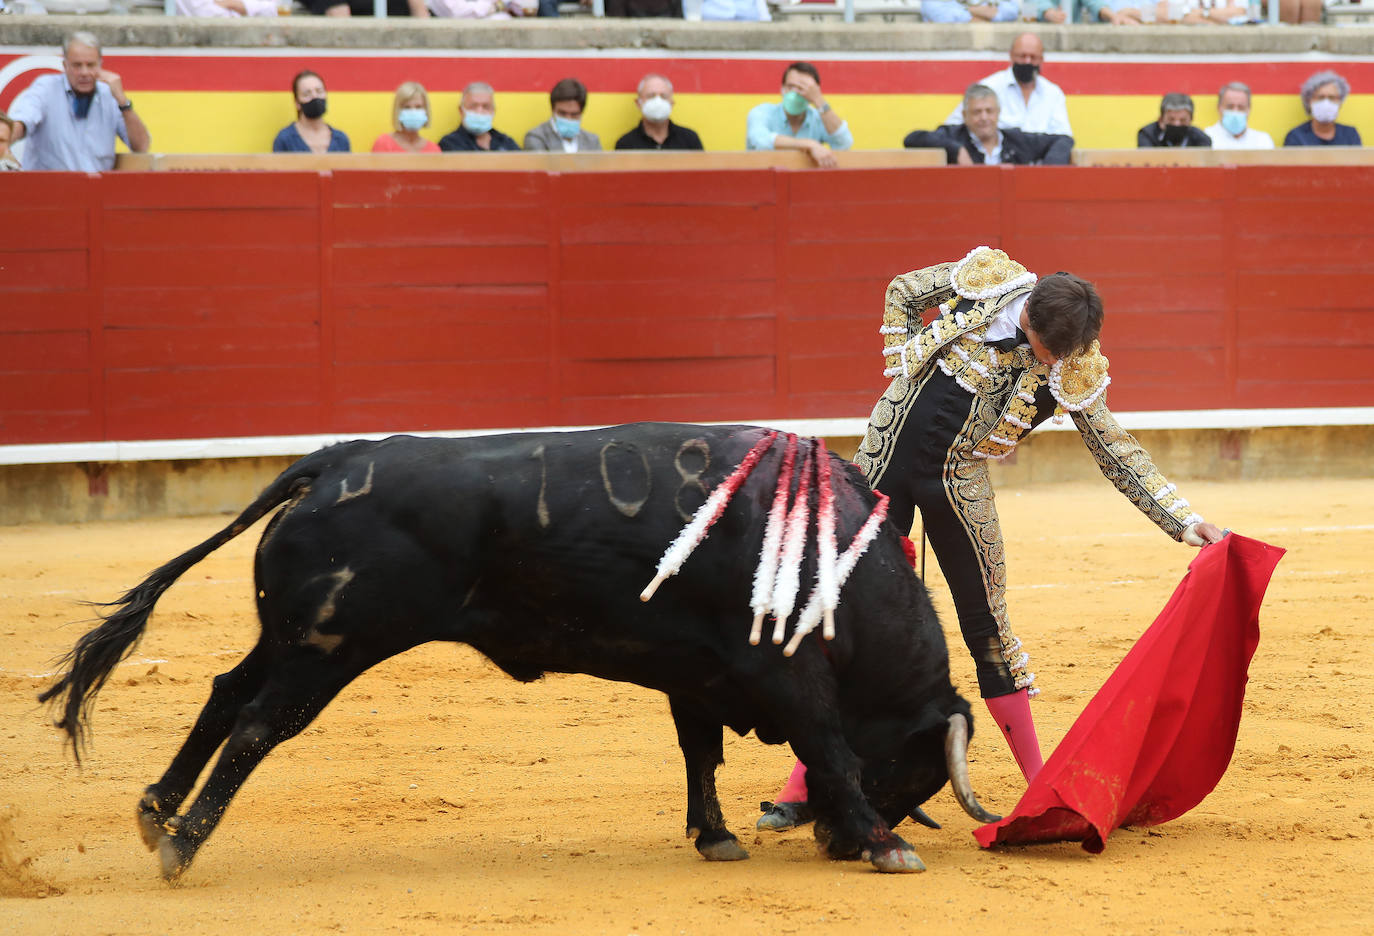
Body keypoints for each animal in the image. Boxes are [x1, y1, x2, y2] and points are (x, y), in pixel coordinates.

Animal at [37, 420, 994, 879]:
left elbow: (700, 754)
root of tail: (337, 459)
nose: (831, 841)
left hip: (291, 633)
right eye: (916, 770)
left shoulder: (697, 673)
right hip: (332, 647)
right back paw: (181, 845)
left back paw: (156, 811)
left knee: (225, 693)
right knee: (257, 727)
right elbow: (827, 748)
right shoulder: (788, 675)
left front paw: (717, 836)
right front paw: (885, 845)